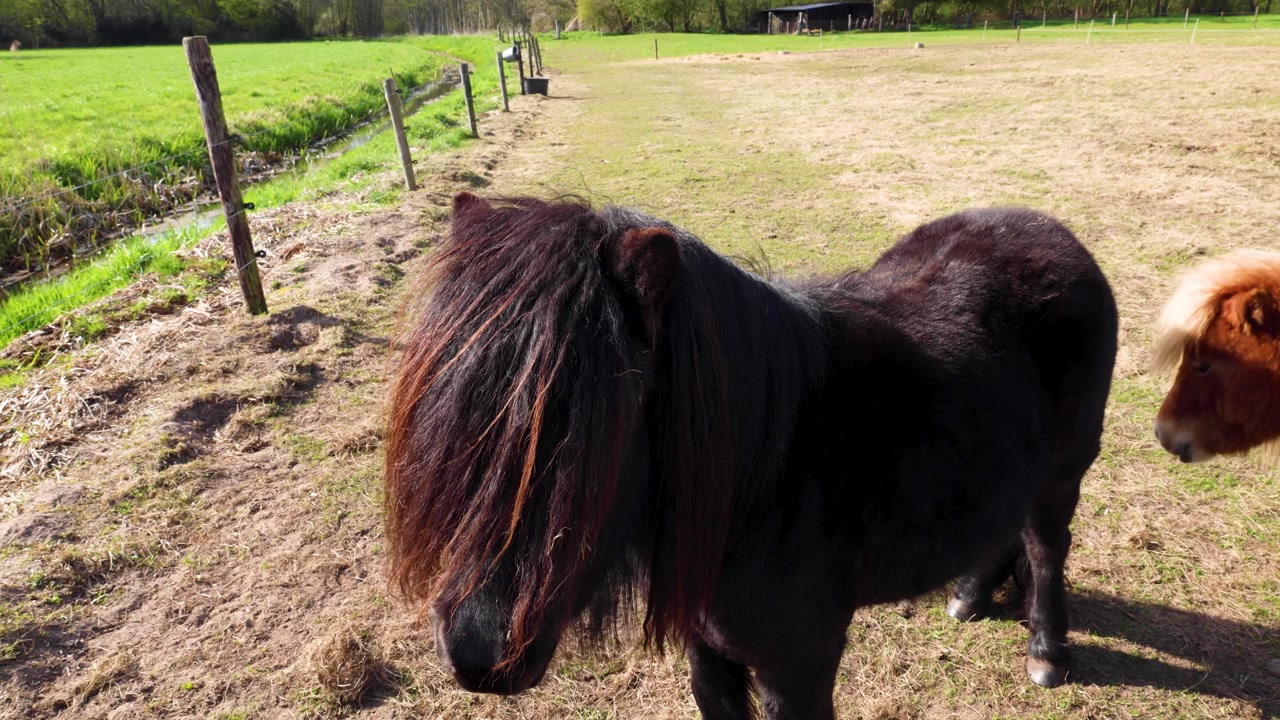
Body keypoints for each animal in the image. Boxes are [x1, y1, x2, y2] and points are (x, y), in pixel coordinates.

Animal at [384, 194, 1118, 719]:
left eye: (599, 428)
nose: (477, 653)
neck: (758, 482)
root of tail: (1051, 231)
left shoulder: (798, 666)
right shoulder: (708, 657)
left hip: (1063, 473)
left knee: (1046, 545)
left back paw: (1047, 652)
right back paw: (968, 595)